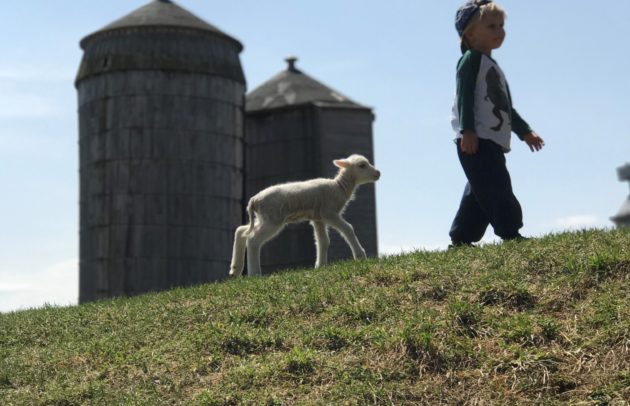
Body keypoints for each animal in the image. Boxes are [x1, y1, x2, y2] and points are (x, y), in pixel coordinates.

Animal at [231, 155, 382, 276]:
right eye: (362, 165)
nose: (378, 173)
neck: (339, 187)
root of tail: (253, 200)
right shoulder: (329, 213)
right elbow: (348, 229)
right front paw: (360, 256)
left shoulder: (318, 218)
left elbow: (323, 241)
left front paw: (320, 265)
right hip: (273, 219)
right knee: (253, 239)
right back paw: (254, 273)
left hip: (263, 218)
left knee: (241, 231)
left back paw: (235, 270)